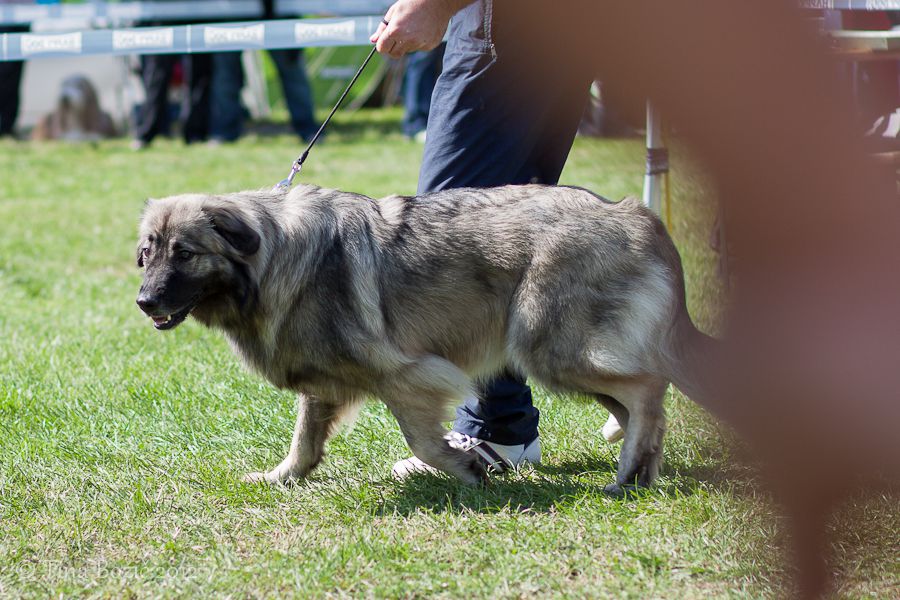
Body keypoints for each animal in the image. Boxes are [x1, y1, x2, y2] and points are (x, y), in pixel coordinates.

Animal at [135, 185, 712, 494]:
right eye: (148, 252)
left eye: (185, 253)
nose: (145, 301)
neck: (272, 256)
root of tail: (632, 211)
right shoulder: (325, 381)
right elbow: (304, 439)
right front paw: (283, 476)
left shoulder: (408, 373)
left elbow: (422, 440)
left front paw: (465, 469)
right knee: (637, 407)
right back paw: (640, 469)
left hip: (548, 348)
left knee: (649, 388)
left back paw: (627, 472)